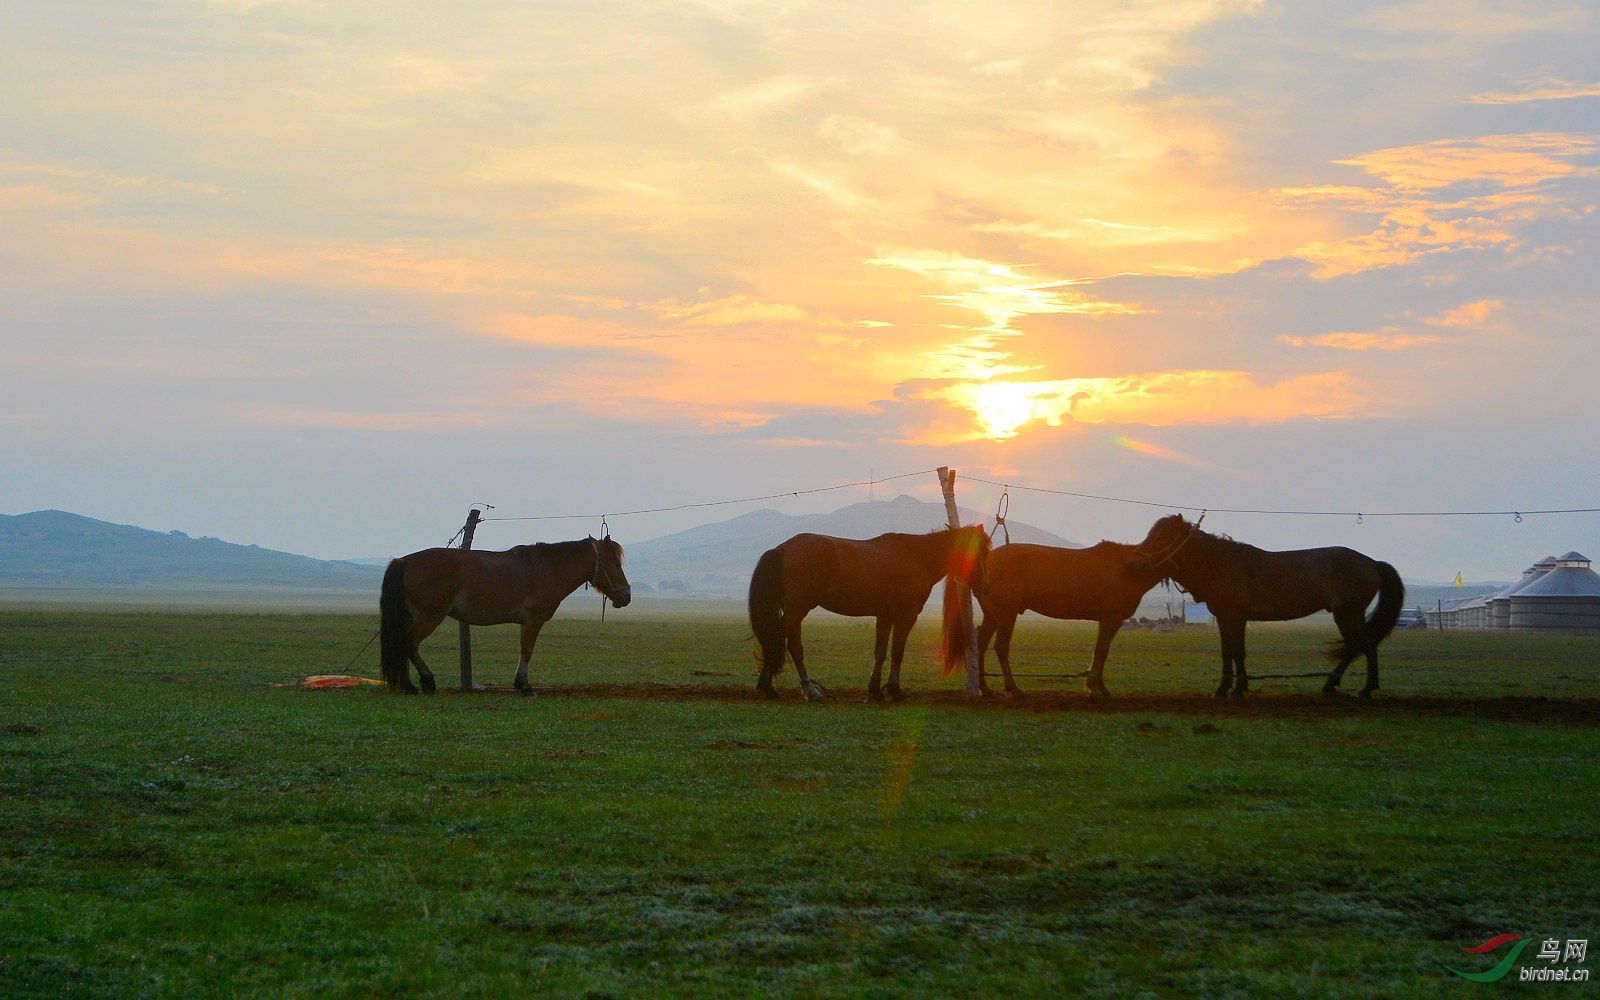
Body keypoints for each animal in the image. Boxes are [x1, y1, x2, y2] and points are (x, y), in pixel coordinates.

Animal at [380, 534, 630, 691]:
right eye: (616, 564)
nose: (626, 596)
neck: (548, 569)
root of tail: (404, 561)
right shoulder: (533, 620)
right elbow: (527, 651)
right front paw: (525, 686)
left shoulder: (525, 622)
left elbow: (523, 650)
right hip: (429, 617)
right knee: (408, 644)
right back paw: (424, 683)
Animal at [745, 521, 985, 700]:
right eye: (983, 549)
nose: (985, 584)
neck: (917, 556)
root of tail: (782, 548)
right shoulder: (906, 615)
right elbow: (897, 652)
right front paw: (894, 690)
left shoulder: (885, 615)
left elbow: (880, 651)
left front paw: (875, 690)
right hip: (797, 610)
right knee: (792, 645)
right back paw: (809, 690)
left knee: (776, 638)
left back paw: (768, 686)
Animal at [953, 540, 1171, 697]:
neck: (1127, 568)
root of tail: (984, 563)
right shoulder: (1112, 618)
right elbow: (1102, 651)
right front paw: (1097, 688)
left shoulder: (1106, 620)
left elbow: (1100, 651)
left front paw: (1097, 686)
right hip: (1006, 613)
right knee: (1001, 646)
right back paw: (1012, 688)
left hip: (993, 615)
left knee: (981, 643)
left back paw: (985, 688)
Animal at [1132, 512, 1408, 697]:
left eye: (1162, 538)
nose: (1137, 563)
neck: (1219, 564)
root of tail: (1372, 563)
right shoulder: (1224, 617)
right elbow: (1228, 651)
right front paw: (1229, 687)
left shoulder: (1235, 616)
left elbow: (1237, 651)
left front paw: (1233, 689)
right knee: (1355, 646)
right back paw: (1333, 685)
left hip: (1347, 613)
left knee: (1363, 645)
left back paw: (1364, 688)